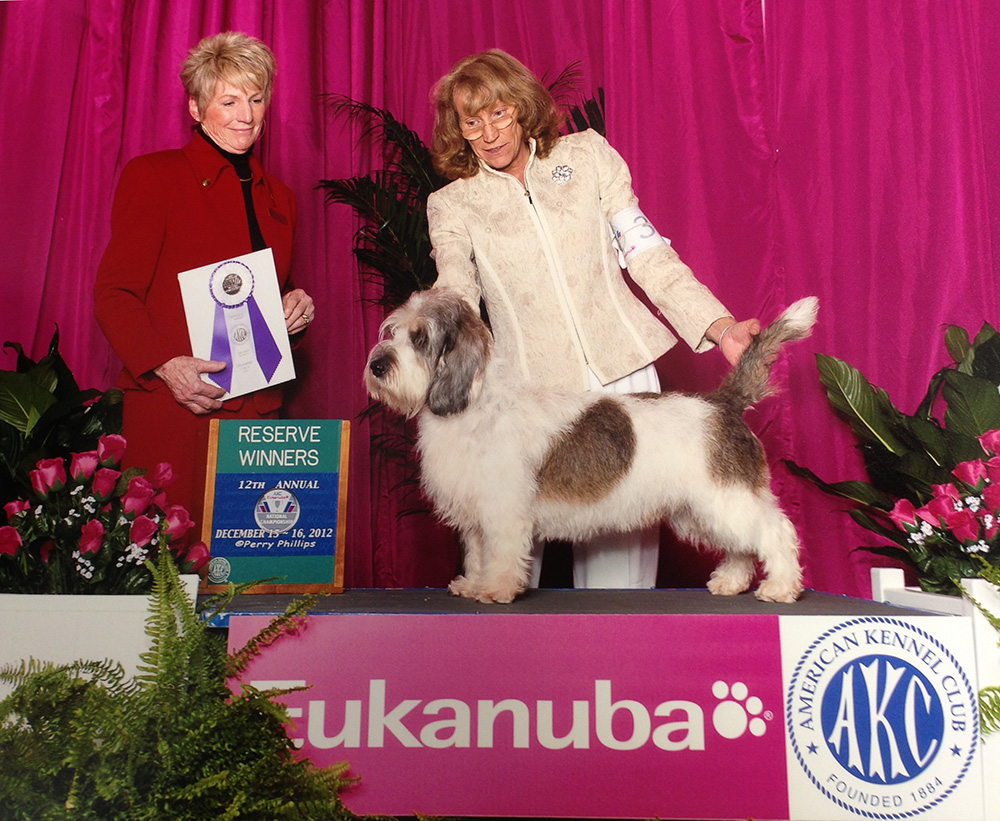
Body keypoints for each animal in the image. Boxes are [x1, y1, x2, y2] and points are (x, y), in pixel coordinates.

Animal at [364, 288, 816, 604]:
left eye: (420, 339)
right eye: (394, 332)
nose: (377, 365)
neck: (475, 402)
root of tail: (722, 403)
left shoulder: (503, 511)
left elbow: (501, 553)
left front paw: (495, 589)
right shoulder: (477, 513)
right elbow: (479, 552)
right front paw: (472, 584)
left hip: (726, 497)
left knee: (775, 531)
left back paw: (781, 586)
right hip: (702, 508)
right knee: (741, 545)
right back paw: (731, 581)